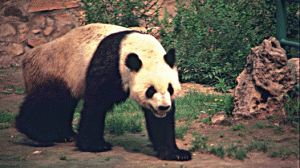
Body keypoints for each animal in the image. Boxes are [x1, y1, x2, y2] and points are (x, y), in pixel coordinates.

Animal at [15, 23, 191, 161]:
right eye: (150, 90)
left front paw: (176, 153)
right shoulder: (111, 66)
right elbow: (96, 104)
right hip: (54, 69)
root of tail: (28, 57)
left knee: (63, 105)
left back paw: (65, 134)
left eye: (170, 88)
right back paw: (38, 133)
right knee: (47, 99)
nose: (163, 107)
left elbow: (161, 122)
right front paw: (94, 145)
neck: (140, 50)